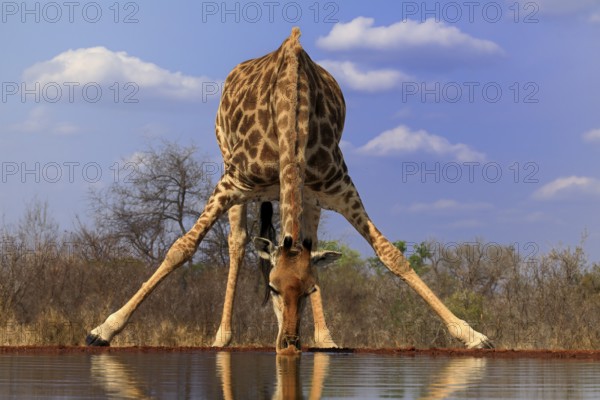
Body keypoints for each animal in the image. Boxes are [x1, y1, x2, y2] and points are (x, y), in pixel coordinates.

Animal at [88, 27, 492, 354]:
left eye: (311, 289)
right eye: (272, 289)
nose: (290, 344)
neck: (290, 114)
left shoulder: (339, 188)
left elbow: (391, 254)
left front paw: (473, 335)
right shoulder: (231, 183)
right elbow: (181, 248)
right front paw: (103, 329)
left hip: (306, 197)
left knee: (295, 239)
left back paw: (324, 338)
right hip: (228, 164)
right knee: (237, 242)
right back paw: (223, 336)